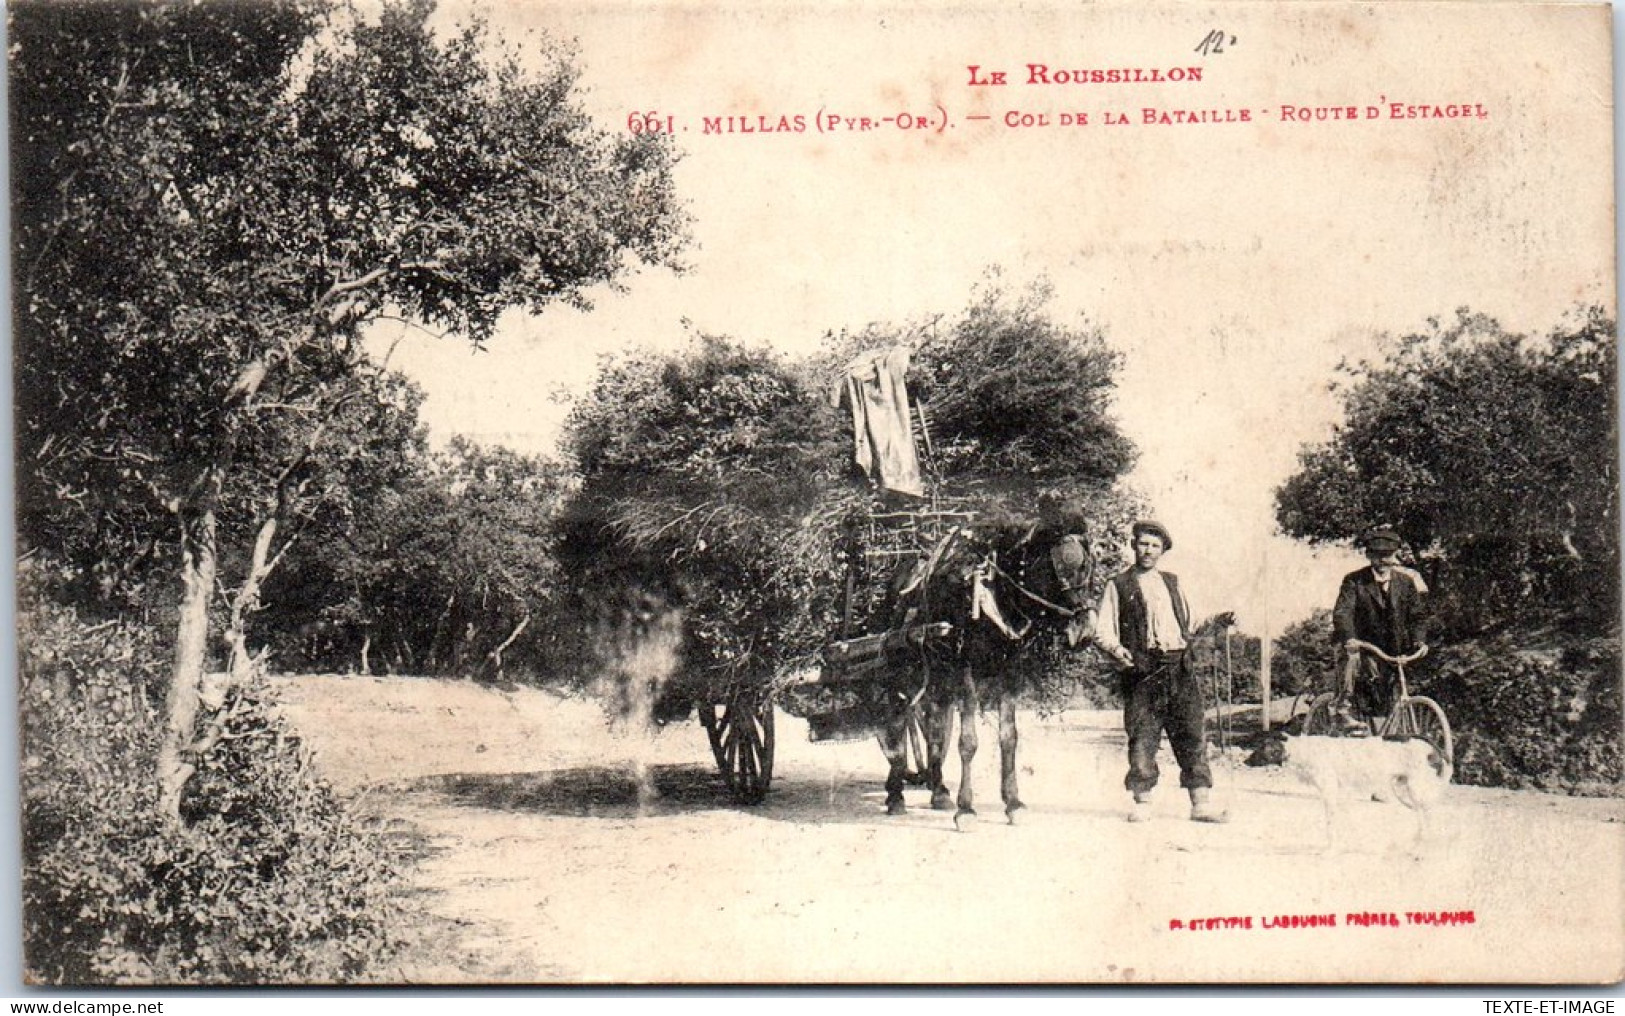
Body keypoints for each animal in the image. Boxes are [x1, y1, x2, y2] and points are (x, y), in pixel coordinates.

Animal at [1248, 731, 1456, 851]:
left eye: (1261, 746)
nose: (1245, 761)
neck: (1301, 751)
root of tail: (1427, 742)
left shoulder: (1329, 792)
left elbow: (1330, 823)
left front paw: (1330, 848)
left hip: (1417, 788)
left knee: (1430, 813)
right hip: (1404, 789)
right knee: (1422, 815)